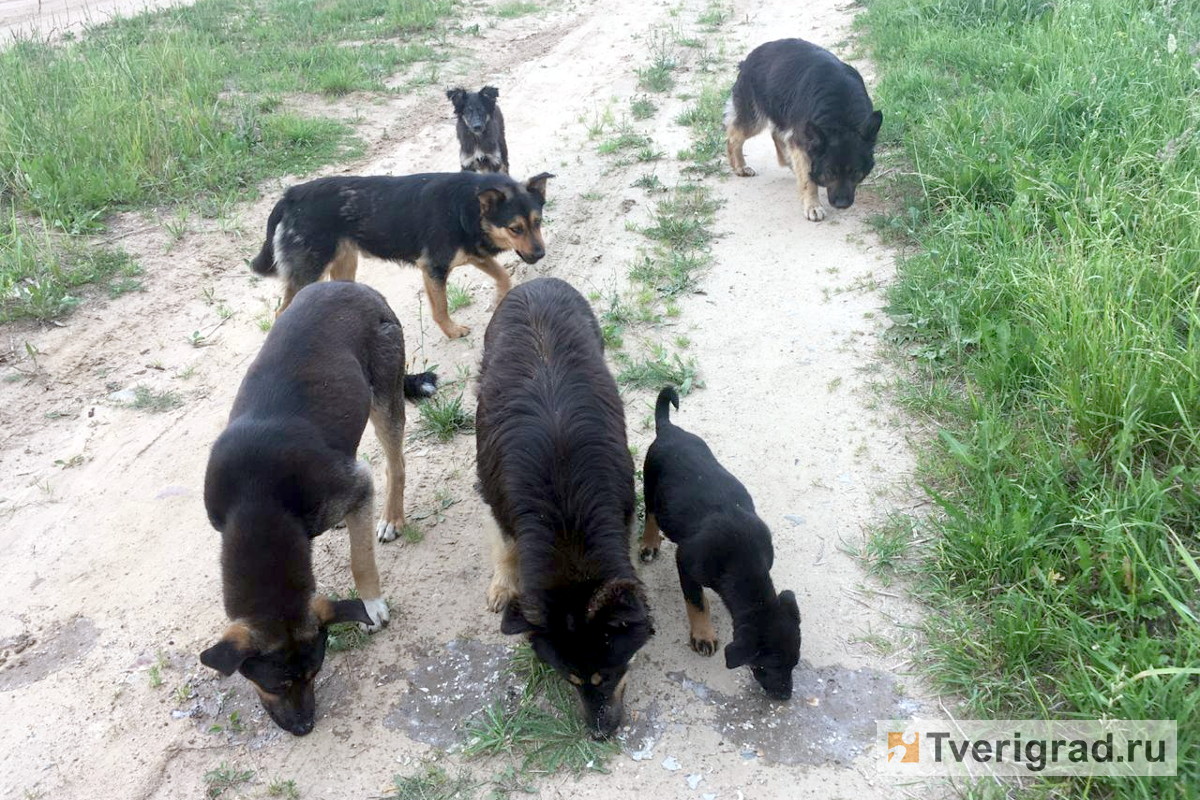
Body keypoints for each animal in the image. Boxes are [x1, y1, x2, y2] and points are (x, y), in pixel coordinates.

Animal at [199, 281, 439, 738]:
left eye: (314, 674)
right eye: (274, 684)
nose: (304, 728)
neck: (257, 501)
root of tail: (358, 287)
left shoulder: (359, 487)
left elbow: (361, 561)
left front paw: (372, 606)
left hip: (383, 397)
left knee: (396, 464)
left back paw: (391, 518)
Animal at [252, 170, 556, 340]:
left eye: (538, 221)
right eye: (515, 228)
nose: (540, 254)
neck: (467, 206)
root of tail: (291, 195)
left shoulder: (473, 254)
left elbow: (504, 277)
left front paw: (498, 299)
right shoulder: (433, 267)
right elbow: (441, 308)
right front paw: (452, 332)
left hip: (344, 265)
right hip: (310, 270)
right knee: (281, 312)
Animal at [472, 278, 657, 743]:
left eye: (609, 674)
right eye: (570, 679)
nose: (600, 735)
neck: (566, 523)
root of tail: (536, 282)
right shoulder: (497, 500)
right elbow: (505, 547)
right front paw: (504, 586)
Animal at [643, 388, 801, 700]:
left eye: (795, 663)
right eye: (768, 667)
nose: (785, 696)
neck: (745, 560)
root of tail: (668, 428)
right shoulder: (686, 561)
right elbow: (694, 601)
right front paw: (703, 635)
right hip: (649, 482)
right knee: (651, 515)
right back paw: (649, 543)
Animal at [720, 37, 883, 221]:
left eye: (855, 172)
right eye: (829, 172)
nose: (841, 205)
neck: (840, 117)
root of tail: (749, 58)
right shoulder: (802, 143)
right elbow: (808, 180)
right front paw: (812, 206)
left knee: (776, 134)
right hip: (754, 120)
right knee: (733, 137)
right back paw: (739, 166)